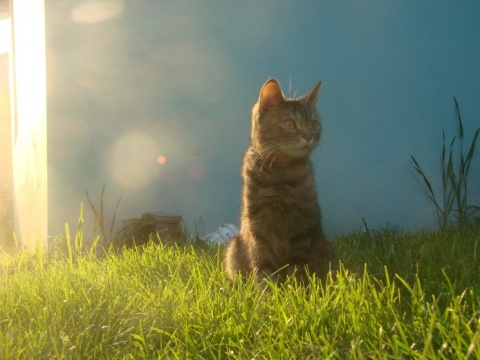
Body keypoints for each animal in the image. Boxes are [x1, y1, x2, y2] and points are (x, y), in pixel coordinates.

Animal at [223, 78, 336, 282]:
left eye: (314, 125)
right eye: (289, 124)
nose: (308, 136)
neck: (282, 173)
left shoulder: (303, 228)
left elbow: (297, 267)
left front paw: (295, 288)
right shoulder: (257, 228)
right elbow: (263, 267)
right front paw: (268, 289)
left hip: (324, 246)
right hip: (234, 247)